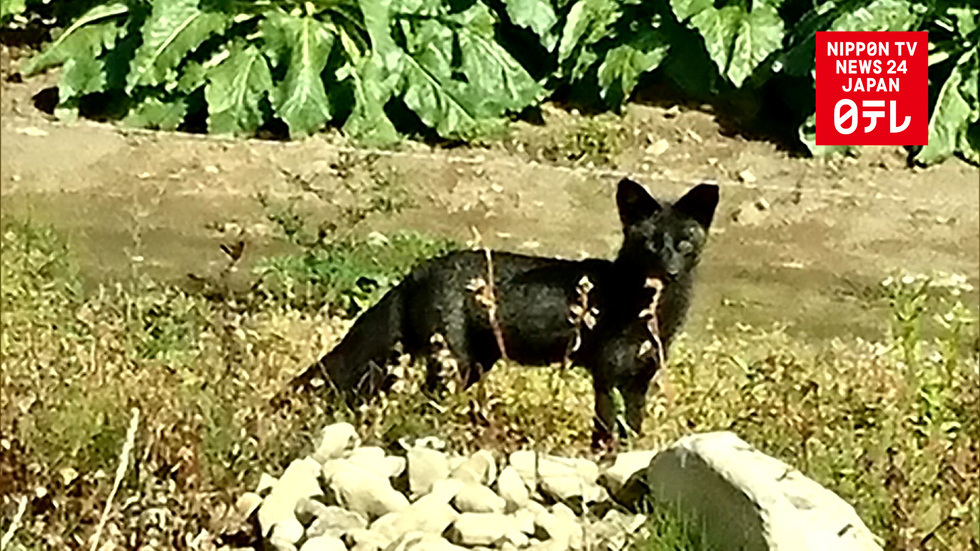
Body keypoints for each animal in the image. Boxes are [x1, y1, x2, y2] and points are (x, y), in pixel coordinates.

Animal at [282, 178, 719, 450]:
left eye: (684, 243)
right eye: (650, 243)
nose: (670, 271)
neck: (646, 313)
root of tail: (419, 270)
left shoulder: (639, 382)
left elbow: (632, 430)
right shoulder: (607, 375)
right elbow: (606, 428)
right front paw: (604, 459)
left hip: (475, 366)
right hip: (453, 366)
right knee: (425, 406)